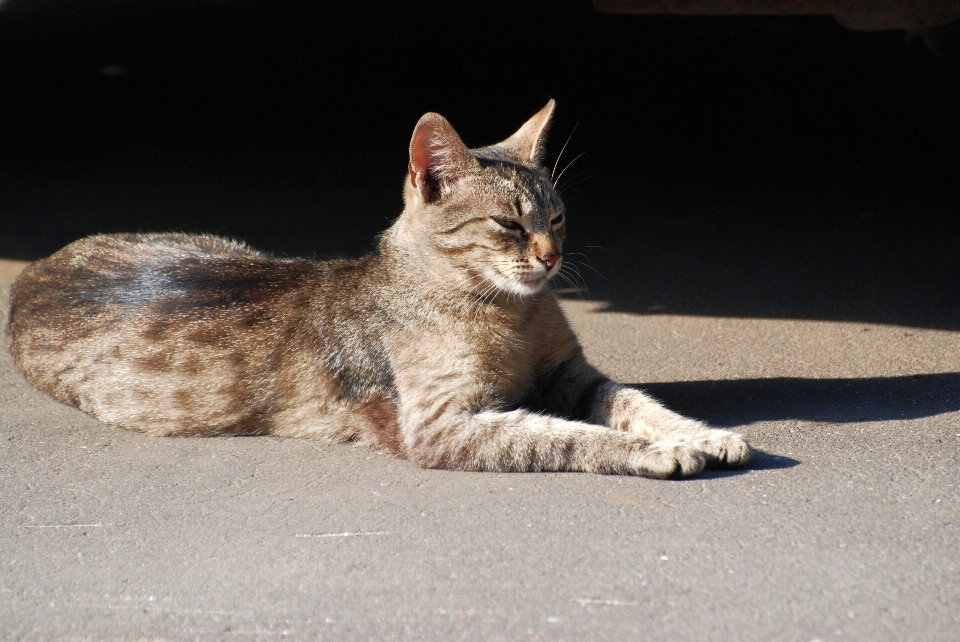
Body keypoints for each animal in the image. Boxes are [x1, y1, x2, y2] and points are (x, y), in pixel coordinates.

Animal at [5, 101, 752, 476]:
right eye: (510, 223)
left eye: (560, 216)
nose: (553, 256)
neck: (511, 314)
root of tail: (33, 270)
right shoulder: (441, 425)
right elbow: (569, 437)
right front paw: (659, 452)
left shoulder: (572, 374)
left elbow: (638, 403)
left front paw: (703, 433)